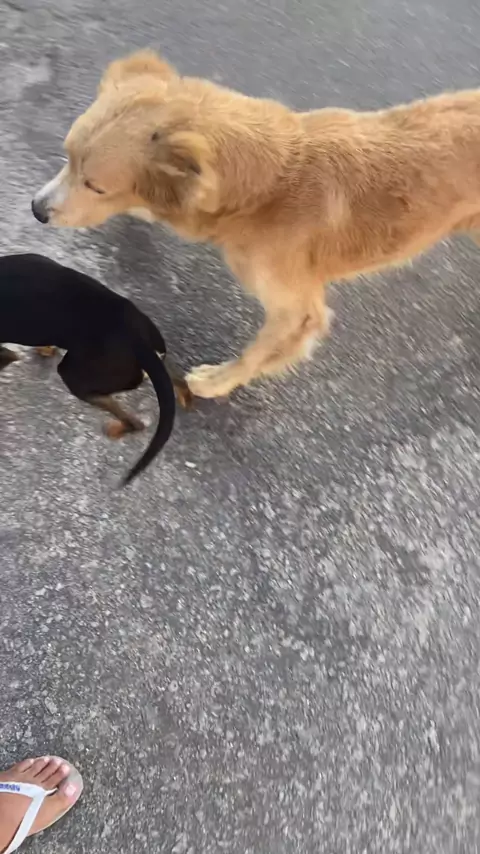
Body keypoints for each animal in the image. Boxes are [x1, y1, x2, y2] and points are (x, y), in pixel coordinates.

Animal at [0, 253, 191, 484]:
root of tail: (137, 340)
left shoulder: (5, 354)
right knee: (176, 378)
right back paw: (185, 395)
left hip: (75, 375)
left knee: (134, 422)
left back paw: (118, 429)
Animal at [32, 50, 480, 399]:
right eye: (67, 157)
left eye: (95, 186)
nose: (36, 210)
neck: (271, 186)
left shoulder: (298, 312)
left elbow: (258, 353)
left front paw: (218, 381)